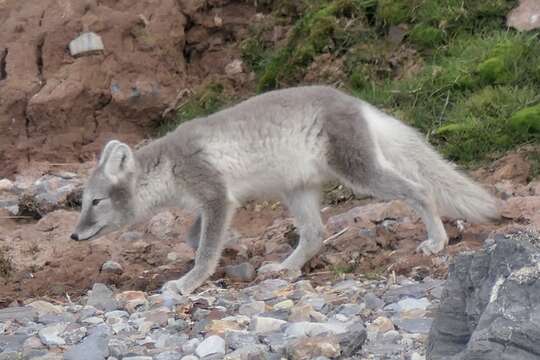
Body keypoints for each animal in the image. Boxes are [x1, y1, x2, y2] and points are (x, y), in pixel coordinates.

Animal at [70, 86, 498, 296]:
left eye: (95, 201)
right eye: (82, 202)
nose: (74, 235)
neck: (169, 168)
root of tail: (357, 102)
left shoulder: (215, 195)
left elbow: (205, 250)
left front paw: (188, 283)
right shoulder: (215, 202)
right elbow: (196, 237)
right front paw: (226, 248)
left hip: (358, 171)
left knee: (420, 189)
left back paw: (437, 240)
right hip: (299, 190)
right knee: (315, 234)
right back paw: (286, 268)